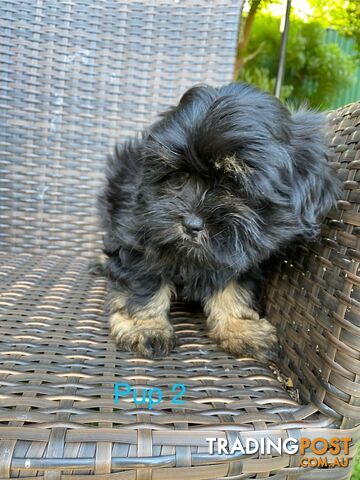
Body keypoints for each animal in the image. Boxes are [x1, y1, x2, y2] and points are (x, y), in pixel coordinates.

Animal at [97, 82, 338, 362]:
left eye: (235, 185)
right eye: (177, 177)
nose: (191, 224)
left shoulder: (240, 249)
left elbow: (233, 283)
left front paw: (239, 326)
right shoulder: (139, 233)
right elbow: (143, 280)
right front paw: (144, 326)